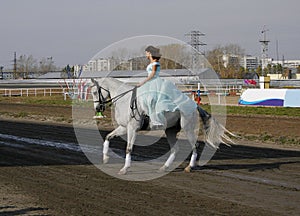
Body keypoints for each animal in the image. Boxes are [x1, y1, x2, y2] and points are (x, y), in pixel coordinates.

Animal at [90, 77, 233, 174]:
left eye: (95, 92)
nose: (97, 108)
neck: (124, 100)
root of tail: (194, 104)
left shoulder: (132, 129)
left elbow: (128, 149)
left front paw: (125, 169)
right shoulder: (124, 127)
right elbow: (108, 137)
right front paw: (105, 158)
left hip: (187, 128)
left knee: (195, 145)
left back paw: (189, 167)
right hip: (170, 130)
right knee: (175, 149)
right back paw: (164, 167)